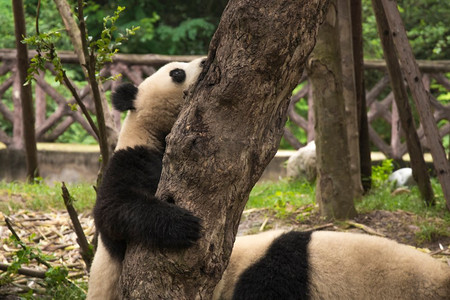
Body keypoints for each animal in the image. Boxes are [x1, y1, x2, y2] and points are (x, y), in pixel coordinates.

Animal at [87, 56, 207, 300]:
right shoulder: (129, 160)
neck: (148, 131)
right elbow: (112, 208)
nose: (205, 61)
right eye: (177, 73)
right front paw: (184, 224)